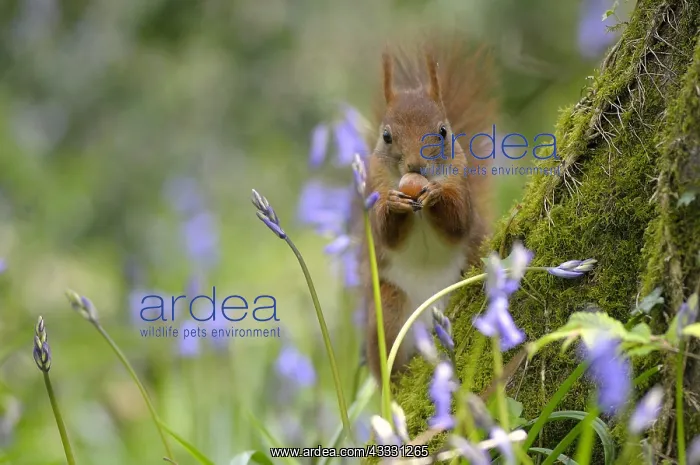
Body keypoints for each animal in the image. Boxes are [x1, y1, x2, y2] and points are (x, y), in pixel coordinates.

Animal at [357, 38, 497, 383]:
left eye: (443, 131)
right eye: (386, 135)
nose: (415, 167)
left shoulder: (460, 181)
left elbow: (458, 222)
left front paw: (436, 195)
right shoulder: (374, 187)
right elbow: (384, 233)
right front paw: (394, 204)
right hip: (388, 312)